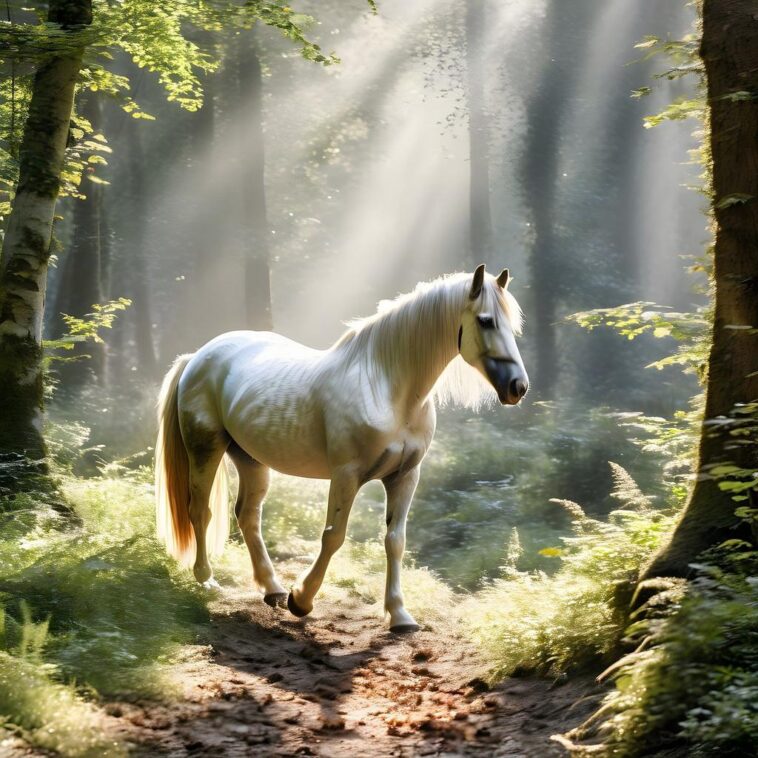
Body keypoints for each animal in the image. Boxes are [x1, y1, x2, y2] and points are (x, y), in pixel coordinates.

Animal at [156, 264, 528, 632]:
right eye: (485, 320)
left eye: (512, 325)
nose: (518, 387)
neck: (387, 390)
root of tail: (197, 357)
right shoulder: (346, 475)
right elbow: (333, 536)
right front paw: (301, 600)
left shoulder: (405, 476)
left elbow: (395, 541)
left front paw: (400, 616)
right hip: (205, 448)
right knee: (199, 511)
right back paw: (206, 579)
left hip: (250, 459)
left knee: (248, 516)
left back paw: (272, 589)